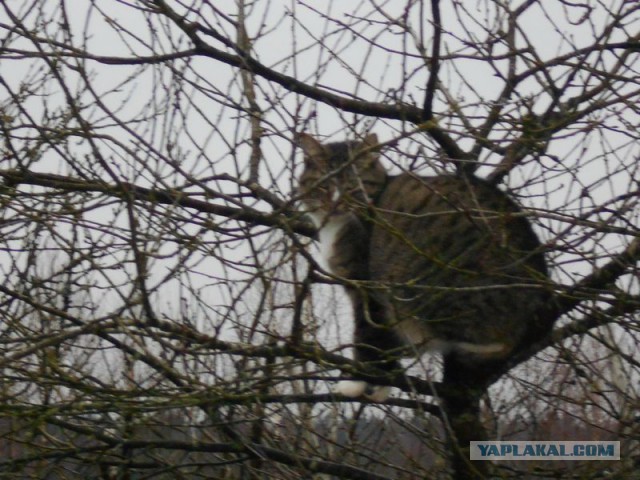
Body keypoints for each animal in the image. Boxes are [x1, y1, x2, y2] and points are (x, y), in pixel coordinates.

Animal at [296, 132, 552, 402]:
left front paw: (358, 381)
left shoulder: (366, 288)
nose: (336, 205)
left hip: (435, 287)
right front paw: (382, 384)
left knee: (493, 343)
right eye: (324, 185)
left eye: (354, 186)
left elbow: (368, 337)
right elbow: (386, 341)